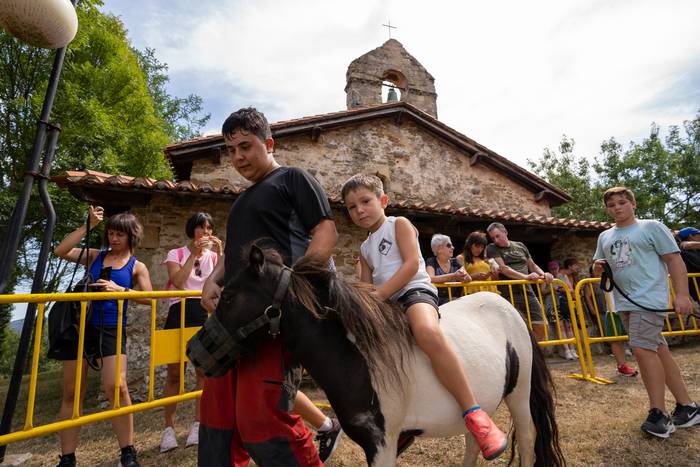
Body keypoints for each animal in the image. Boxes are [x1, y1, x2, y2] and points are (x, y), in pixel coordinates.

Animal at [189, 247, 568, 466]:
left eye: (230, 296)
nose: (195, 351)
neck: (360, 360)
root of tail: (507, 306)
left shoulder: (383, 443)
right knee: (474, 444)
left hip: (519, 394)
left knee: (529, 439)